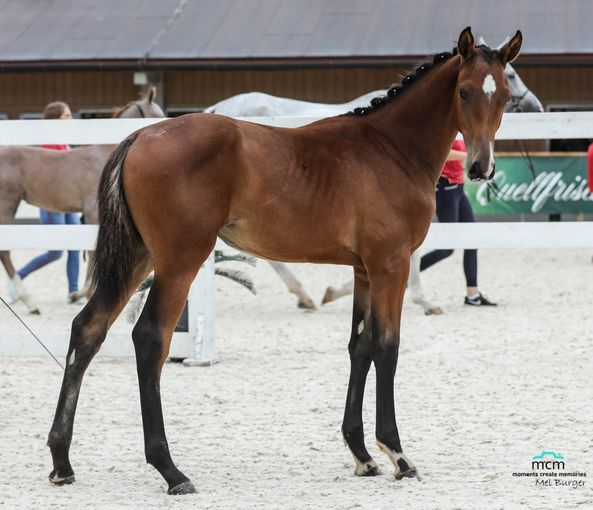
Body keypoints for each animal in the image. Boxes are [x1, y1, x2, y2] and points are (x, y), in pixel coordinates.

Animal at [0, 88, 163, 312]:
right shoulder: (94, 212)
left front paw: (80, 293)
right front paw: (84, 292)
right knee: (5, 251)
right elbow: (95, 252)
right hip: (8, 204)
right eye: (157, 114)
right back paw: (28, 300)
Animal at [47, 27, 520, 494]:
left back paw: (61, 461)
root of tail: (139, 137)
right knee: (150, 339)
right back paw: (170, 470)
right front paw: (397, 455)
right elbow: (387, 347)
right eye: (463, 91)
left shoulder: (364, 270)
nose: (480, 167)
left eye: (503, 96)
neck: (391, 150)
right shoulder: (391, 264)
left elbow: (360, 346)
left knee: (88, 329)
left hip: (139, 258)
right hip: (179, 261)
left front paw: (362, 455)